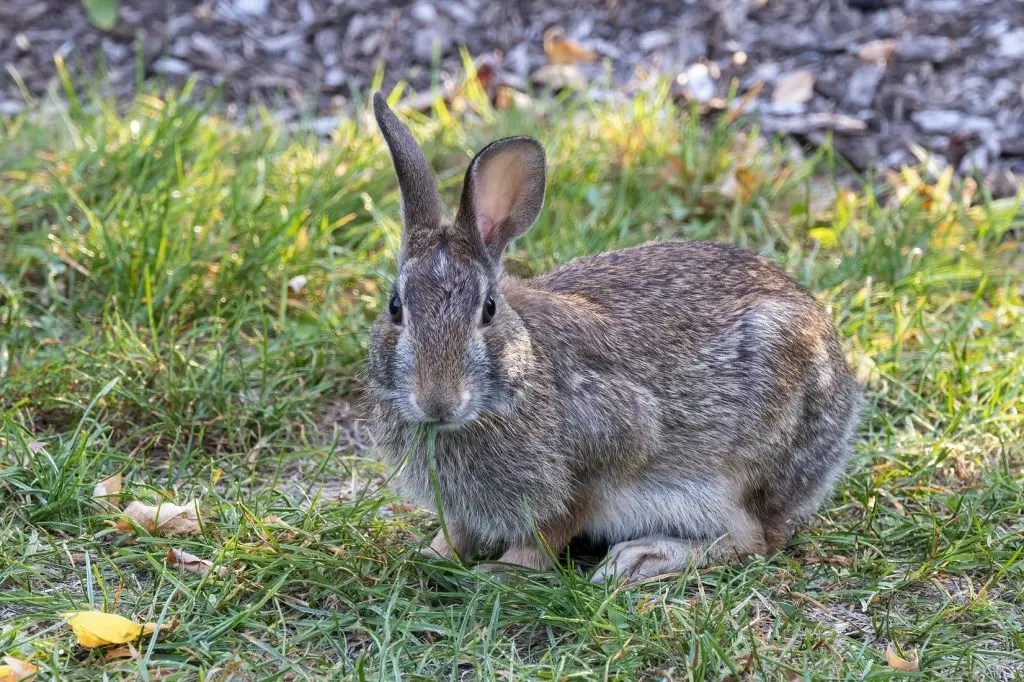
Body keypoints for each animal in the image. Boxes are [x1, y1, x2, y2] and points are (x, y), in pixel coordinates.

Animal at [365, 92, 863, 584]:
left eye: (487, 309)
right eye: (395, 307)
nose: (438, 401)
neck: (520, 376)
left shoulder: (598, 458)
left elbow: (549, 531)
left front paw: (503, 572)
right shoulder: (466, 507)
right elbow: (459, 531)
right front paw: (432, 554)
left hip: (741, 467)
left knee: (756, 539)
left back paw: (641, 558)